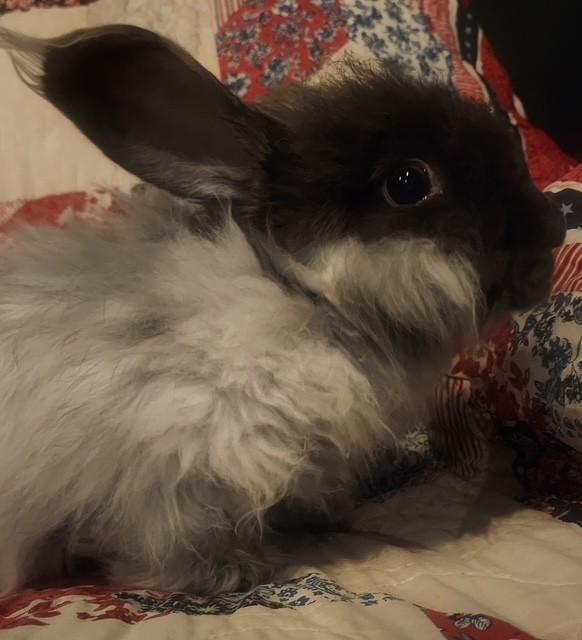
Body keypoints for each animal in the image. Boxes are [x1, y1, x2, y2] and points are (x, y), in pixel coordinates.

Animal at [0, 25, 565, 595]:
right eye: (409, 183)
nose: (555, 229)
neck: (303, 292)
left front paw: (323, 518)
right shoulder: (181, 457)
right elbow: (174, 538)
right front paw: (230, 572)